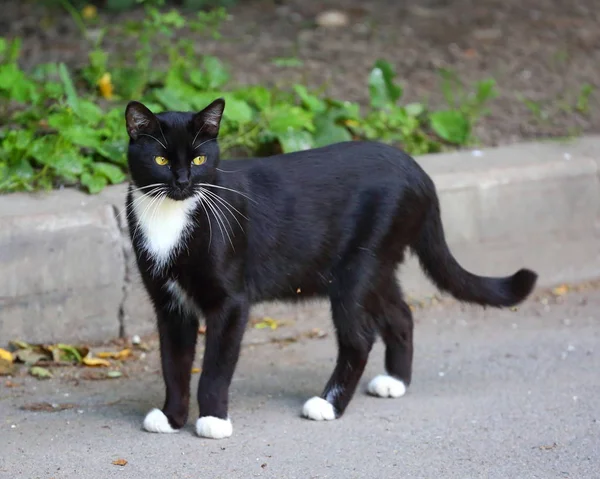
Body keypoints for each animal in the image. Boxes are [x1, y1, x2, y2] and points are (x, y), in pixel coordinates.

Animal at [124, 99, 536, 440]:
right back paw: (395, 382)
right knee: (401, 314)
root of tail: (418, 171)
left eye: (198, 160)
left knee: (360, 338)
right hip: (376, 267)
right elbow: (173, 363)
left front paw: (212, 420)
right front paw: (171, 418)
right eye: (161, 161)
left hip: (359, 268)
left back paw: (328, 404)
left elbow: (214, 366)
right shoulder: (169, 304)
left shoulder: (231, 302)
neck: (171, 216)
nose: (182, 181)